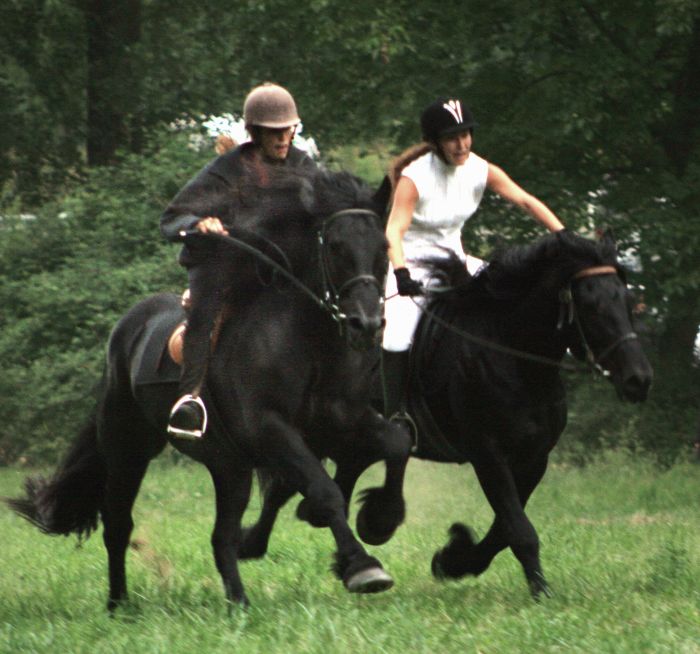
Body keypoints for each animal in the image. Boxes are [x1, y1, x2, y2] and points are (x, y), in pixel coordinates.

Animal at [5, 167, 410, 612]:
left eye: (383, 247)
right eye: (335, 246)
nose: (366, 325)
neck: (308, 344)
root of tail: (126, 330)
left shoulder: (342, 423)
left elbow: (396, 443)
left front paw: (381, 519)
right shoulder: (271, 429)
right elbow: (324, 490)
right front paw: (362, 566)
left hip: (228, 467)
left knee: (221, 537)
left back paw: (239, 602)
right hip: (128, 449)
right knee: (118, 524)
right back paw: (119, 605)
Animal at [238, 228, 652, 604]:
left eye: (629, 303)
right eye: (591, 306)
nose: (639, 380)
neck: (510, 353)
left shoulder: (534, 459)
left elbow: (505, 527)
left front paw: (455, 561)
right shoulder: (488, 454)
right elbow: (518, 527)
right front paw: (539, 590)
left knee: (337, 477)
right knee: (285, 486)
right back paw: (253, 544)